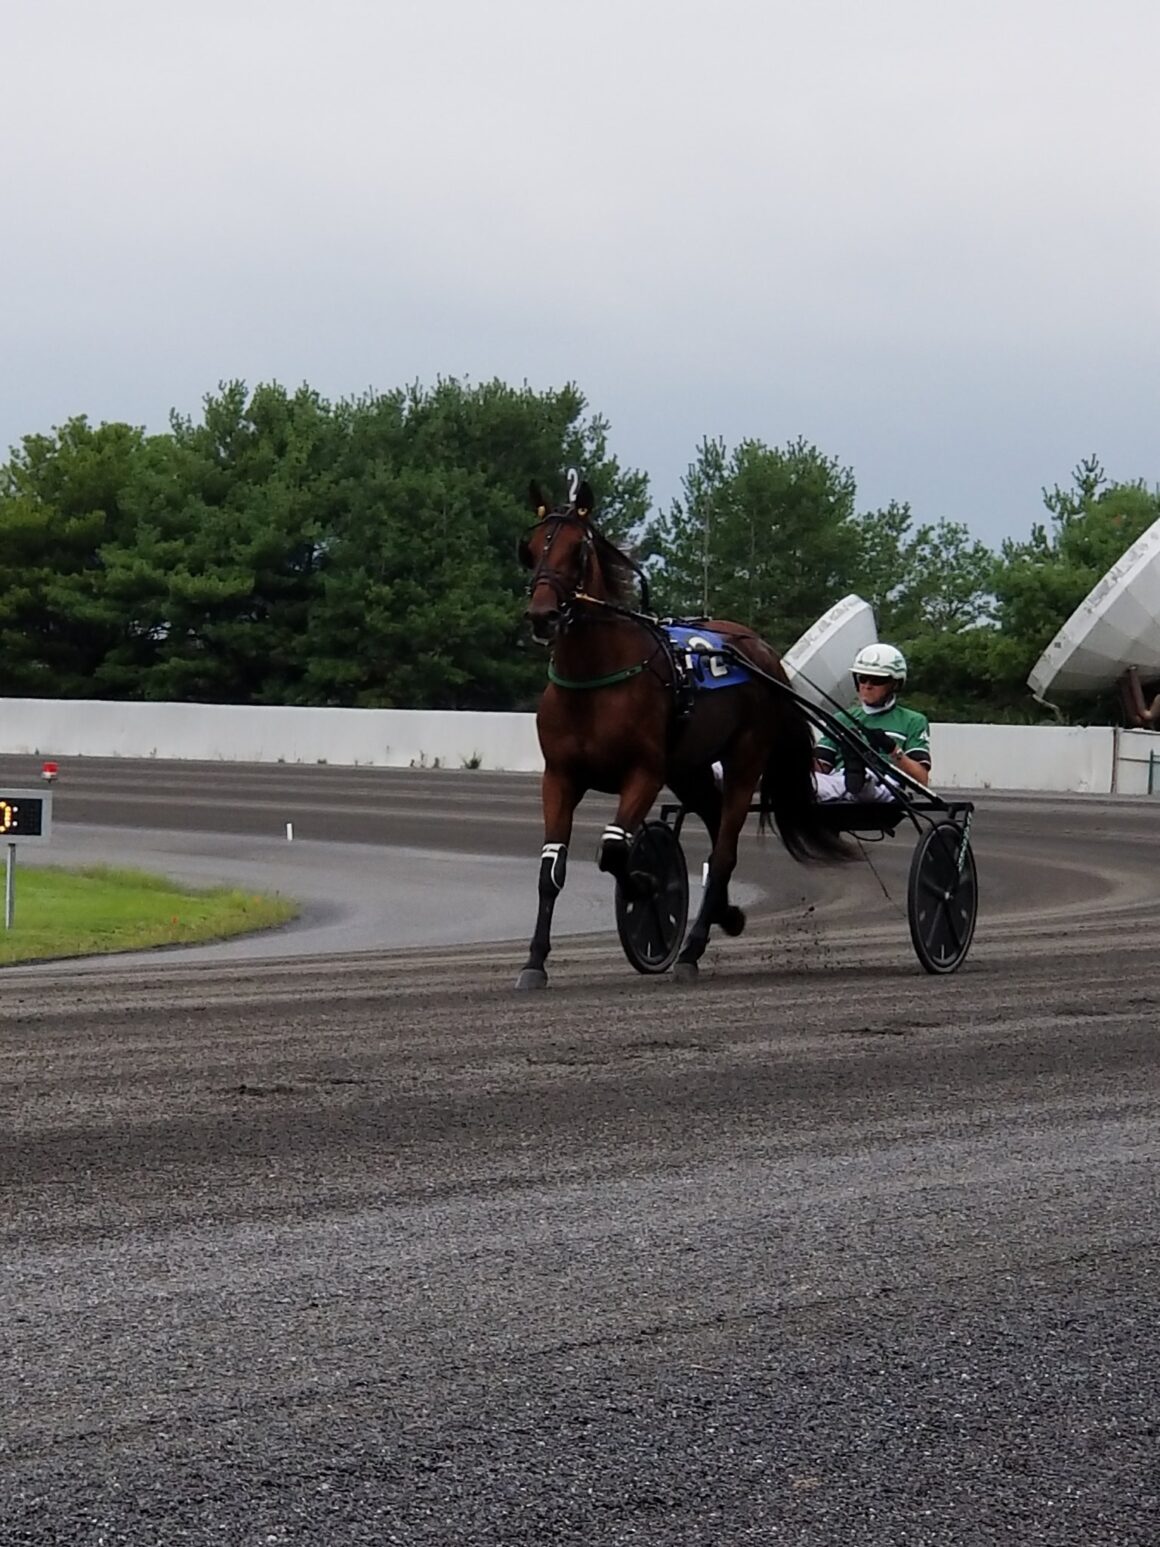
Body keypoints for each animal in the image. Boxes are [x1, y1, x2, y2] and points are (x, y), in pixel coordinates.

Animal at [513, 482, 847, 990]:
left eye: (578, 550)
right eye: (530, 550)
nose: (542, 615)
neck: (596, 679)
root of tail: (760, 649)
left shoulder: (645, 773)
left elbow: (615, 853)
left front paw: (651, 886)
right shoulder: (560, 776)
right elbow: (551, 869)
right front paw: (534, 962)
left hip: (744, 760)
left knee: (724, 851)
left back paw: (691, 951)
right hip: (690, 770)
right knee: (713, 825)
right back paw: (726, 914)